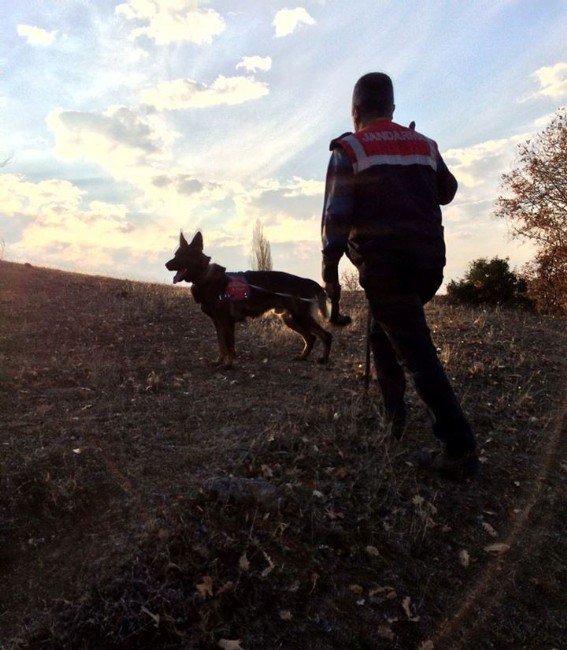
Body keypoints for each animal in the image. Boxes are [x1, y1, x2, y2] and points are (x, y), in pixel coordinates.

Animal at [165, 230, 350, 368]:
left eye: (182, 256)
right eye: (175, 254)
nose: (166, 265)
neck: (205, 277)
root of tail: (307, 280)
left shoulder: (227, 323)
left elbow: (230, 346)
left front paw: (228, 365)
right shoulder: (218, 323)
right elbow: (222, 345)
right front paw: (219, 362)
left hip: (300, 317)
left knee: (325, 335)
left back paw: (323, 360)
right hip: (290, 319)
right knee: (311, 337)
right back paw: (302, 357)